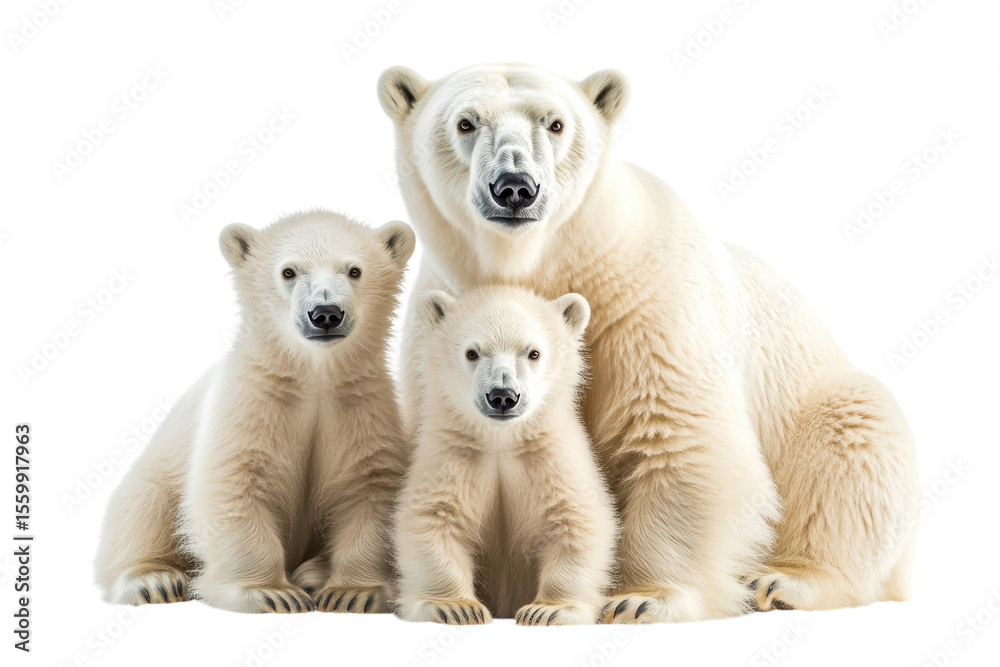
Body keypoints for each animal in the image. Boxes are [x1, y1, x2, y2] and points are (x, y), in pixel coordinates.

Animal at [94, 209, 415, 614]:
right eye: (289, 271)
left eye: (354, 270)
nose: (325, 313)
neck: (314, 376)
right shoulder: (250, 404)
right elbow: (234, 483)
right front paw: (270, 593)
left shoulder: (361, 407)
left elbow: (370, 487)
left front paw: (352, 593)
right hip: (158, 466)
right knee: (142, 504)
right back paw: (153, 579)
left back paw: (312, 572)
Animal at [394, 286, 617, 625]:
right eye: (472, 353)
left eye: (533, 353)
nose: (502, 396)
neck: (501, 440)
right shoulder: (455, 454)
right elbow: (431, 519)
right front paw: (454, 607)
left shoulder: (549, 455)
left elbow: (577, 520)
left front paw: (547, 610)